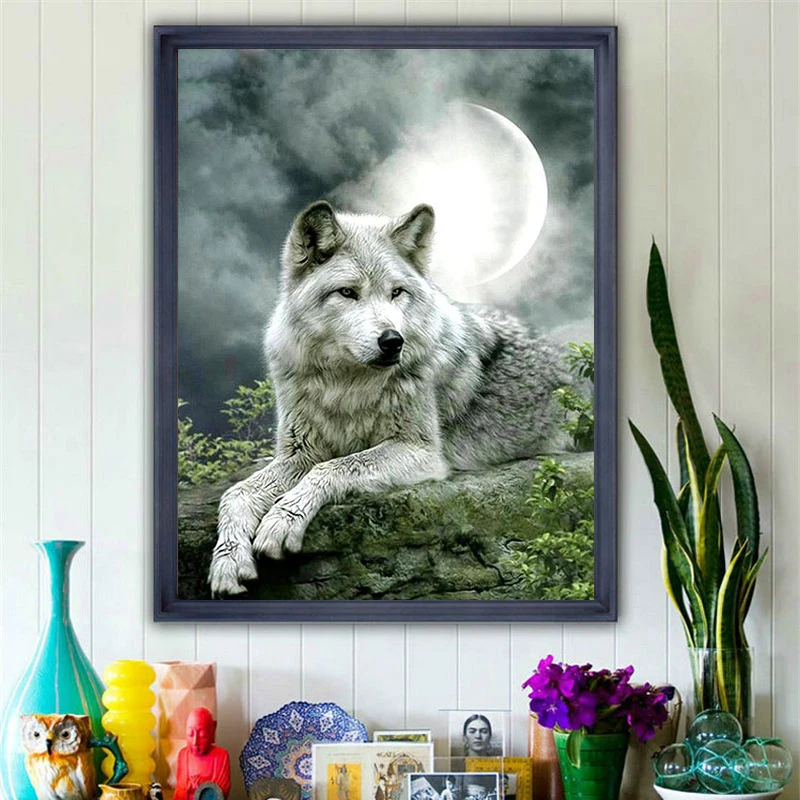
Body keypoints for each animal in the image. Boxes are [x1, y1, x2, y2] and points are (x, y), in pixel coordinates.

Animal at [208, 200, 566, 596]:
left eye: (396, 292)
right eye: (348, 293)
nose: (393, 341)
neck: (346, 386)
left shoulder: (421, 452)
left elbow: (333, 468)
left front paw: (281, 520)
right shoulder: (299, 454)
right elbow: (235, 494)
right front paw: (227, 561)